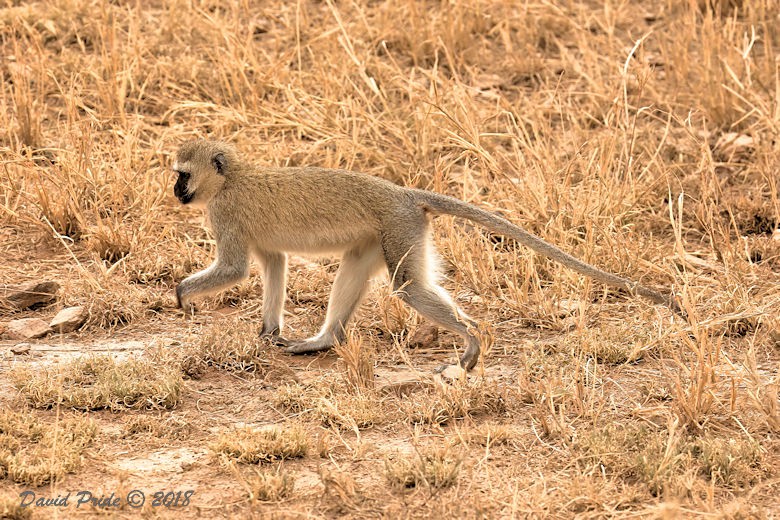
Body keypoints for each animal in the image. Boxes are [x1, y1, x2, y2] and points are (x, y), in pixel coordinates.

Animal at [172, 140, 684, 372]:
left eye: (182, 174)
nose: (175, 192)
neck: (231, 179)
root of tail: (404, 194)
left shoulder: (225, 215)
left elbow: (234, 269)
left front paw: (181, 295)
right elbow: (273, 266)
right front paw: (269, 332)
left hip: (399, 229)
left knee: (409, 287)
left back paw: (472, 338)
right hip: (384, 235)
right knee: (361, 272)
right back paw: (325, 340)